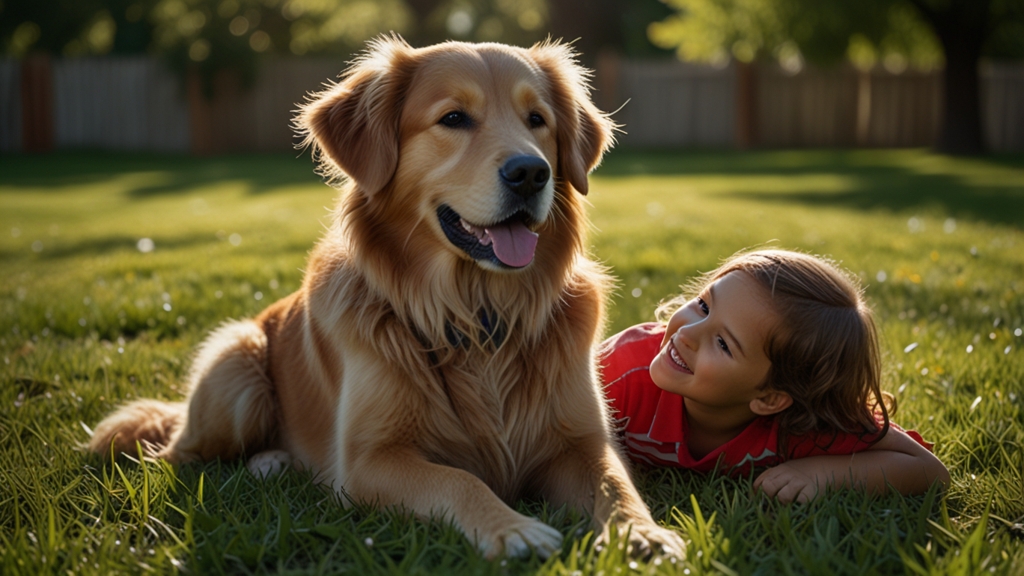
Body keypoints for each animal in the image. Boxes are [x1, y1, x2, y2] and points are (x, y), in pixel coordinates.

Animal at [86, 35, 679, 557]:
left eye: (537, 120)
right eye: (453, 119)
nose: (532, 172)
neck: (476, 313)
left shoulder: (583, 442)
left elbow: (616, 486)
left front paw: (644, 535)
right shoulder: (370, 461)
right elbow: (458, 480)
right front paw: (515, 530)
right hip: (237, 369)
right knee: (175, 455)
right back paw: (264, 461)